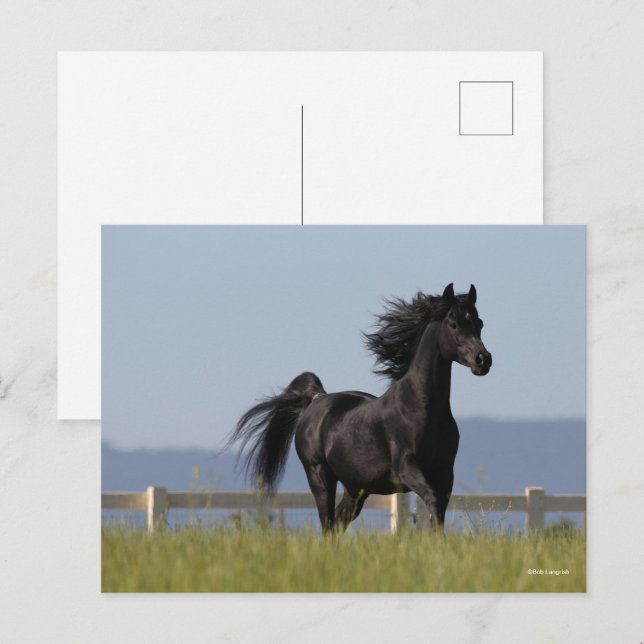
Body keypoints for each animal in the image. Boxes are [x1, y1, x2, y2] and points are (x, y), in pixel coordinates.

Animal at [227, 283, 492, 531]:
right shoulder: (407, 467)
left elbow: (439, 512)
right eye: (453, 324)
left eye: (479, 323)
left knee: (336, 525)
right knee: (327, 523)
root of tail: (317, 399)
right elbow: (432, 501)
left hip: (355, 489)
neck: (422, 407)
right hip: (319, 476)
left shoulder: (445, 472)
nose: (483, 360)